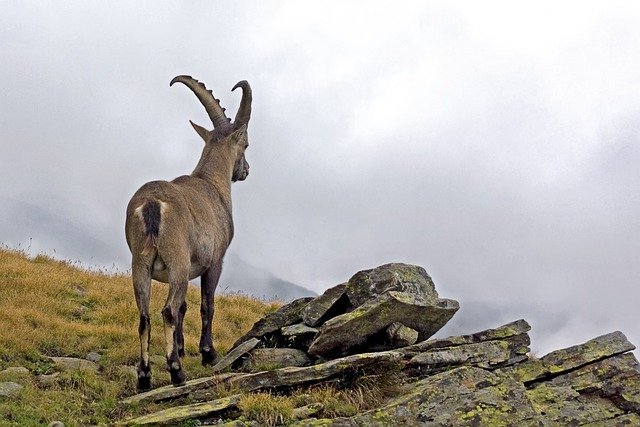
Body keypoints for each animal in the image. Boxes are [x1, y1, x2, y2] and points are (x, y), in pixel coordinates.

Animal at [125, 75, 252, 390]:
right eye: (245, 144)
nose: (245, 170)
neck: (211, 183)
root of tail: (152, 205)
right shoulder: (214, 261)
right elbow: (206, 305)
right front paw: (208, 354)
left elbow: (184, 307)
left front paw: (182, 348)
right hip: (177, 260)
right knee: (167, 310)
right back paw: (176, 372)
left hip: (140, 263)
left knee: (144, 315)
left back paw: (145, 377)